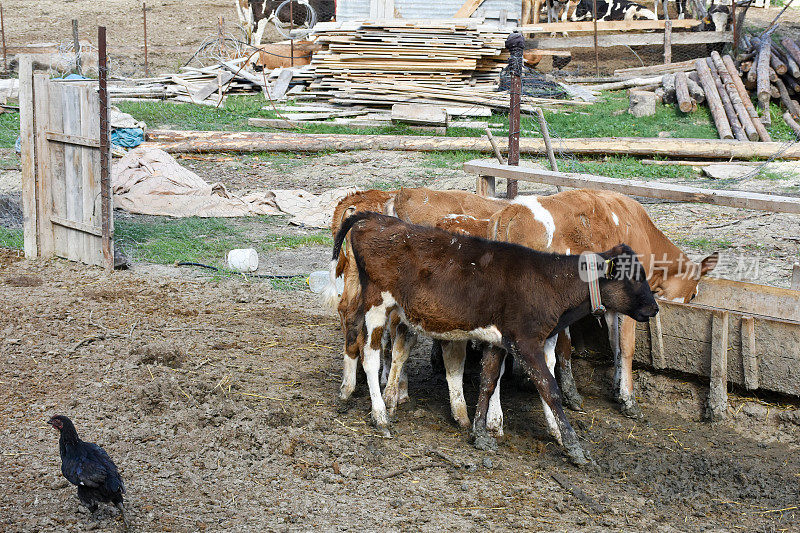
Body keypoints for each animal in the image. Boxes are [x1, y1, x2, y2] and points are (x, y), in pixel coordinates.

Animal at [334, 212, 660, 466]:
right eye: (632, 276)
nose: (654, 308)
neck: (549, 284)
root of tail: (377, 219)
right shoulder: (526, 342)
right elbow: (550, 389)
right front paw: (574, 448)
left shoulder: (498, 339)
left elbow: (488, 382)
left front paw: (479, 433)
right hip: (377, 303)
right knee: (370, 356)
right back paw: (380, 416)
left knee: (358, 339)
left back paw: (354, 395)